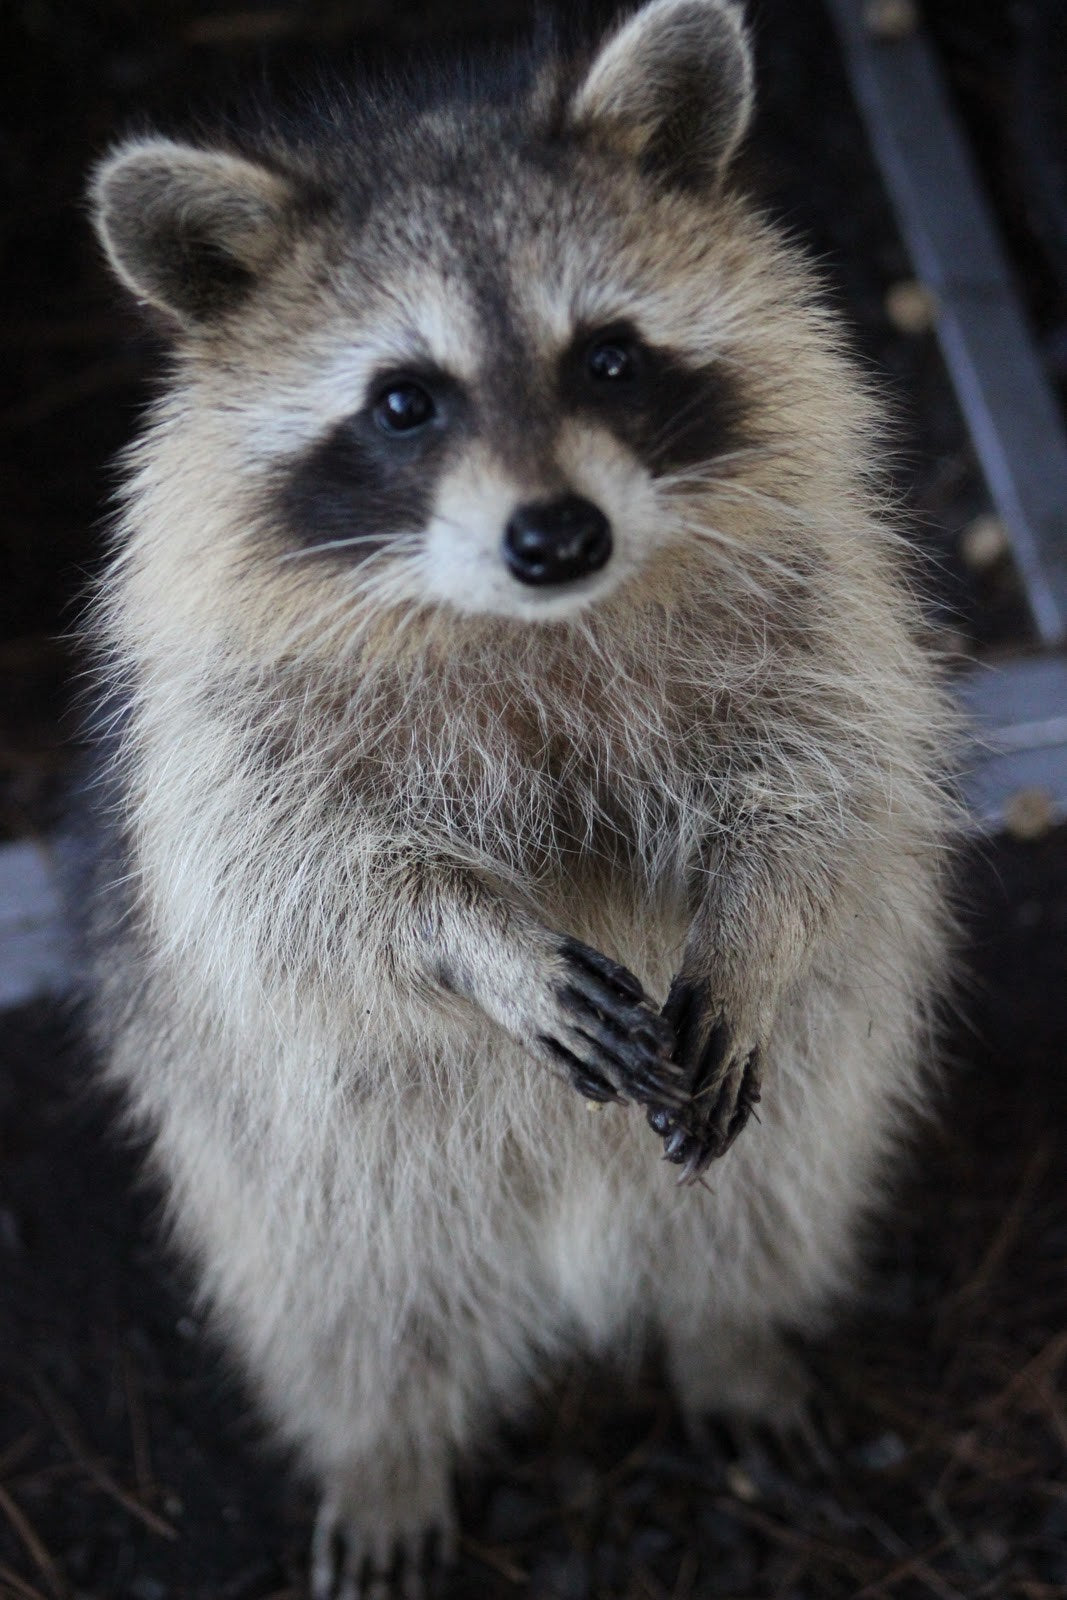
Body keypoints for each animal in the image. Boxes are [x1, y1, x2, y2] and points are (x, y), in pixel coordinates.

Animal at [84, 1, 956, 1593]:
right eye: (402, 401)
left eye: (606, 358)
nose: (557, 536)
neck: (532, 617)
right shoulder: (225, 737)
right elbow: (298, 887)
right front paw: (471, 938)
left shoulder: (820, 611)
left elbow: (822, 787)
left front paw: (755, 921)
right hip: (285, 1158)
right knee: (346, 1303)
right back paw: (384, 1450)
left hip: (820, 1087)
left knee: (776, 1194)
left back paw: (725, 1333)